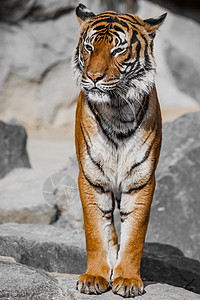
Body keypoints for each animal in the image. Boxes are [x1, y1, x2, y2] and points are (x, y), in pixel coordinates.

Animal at [72, 2, 166, 298]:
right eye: (89, 47)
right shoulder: (91, 178)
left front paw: (128, 279)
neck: (116, 110)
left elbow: (134, 235)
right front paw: (95, 276)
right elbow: (96, 232)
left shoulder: (141, 180)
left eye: (117, 50)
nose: (93, 77)